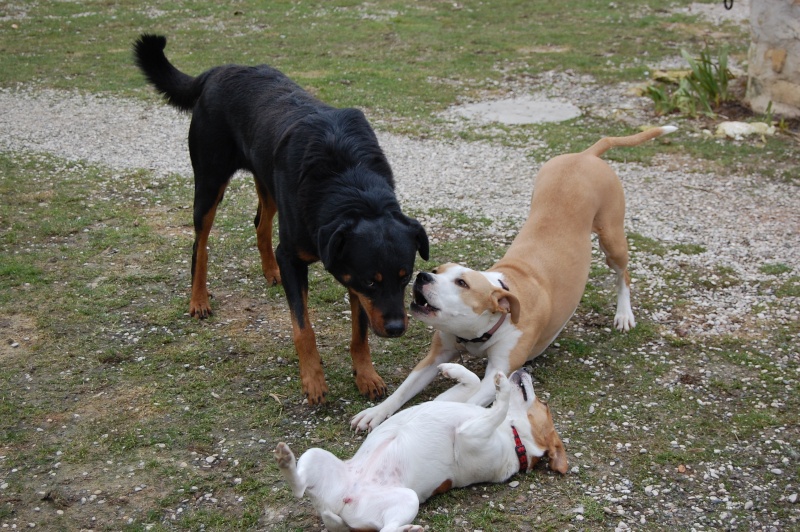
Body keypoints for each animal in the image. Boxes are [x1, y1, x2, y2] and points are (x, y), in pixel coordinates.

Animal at [134, 34, 428, 404]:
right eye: (372, 281)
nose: (396, 329)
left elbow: (359, 331)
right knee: (200, 245)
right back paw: (199, 299)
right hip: (209, 182)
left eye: (405, 278)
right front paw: (313, 379)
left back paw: (269, 271)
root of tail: (220, 70)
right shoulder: (299, 259)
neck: (350, 184)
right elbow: (303, 327)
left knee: (260, 222)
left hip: (267, 183)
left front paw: (366, 375)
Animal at [276, 364, 568, 532]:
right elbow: (474, 382)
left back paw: (408, 529)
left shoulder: (471, 434)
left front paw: (502, 386)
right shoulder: (456, 406)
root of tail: (339, 507)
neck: (513, 435)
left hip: (408, 500)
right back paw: (285, 459)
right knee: (299, 487)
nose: (526, 369)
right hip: (315, 455)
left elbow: (501, 405)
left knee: (387, 530)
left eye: (544, 404)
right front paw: (452, 369)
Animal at [354, 123, 676, 428]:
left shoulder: (497, 373)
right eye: (436, 271)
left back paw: (624, 314)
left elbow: (473, 399)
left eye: (462, 283)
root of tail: (586, 155)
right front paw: (375, 413)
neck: (483, 328)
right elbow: (403, 390)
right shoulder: (435, 357)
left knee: (624, 275)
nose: (422, 276)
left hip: (612, 239)